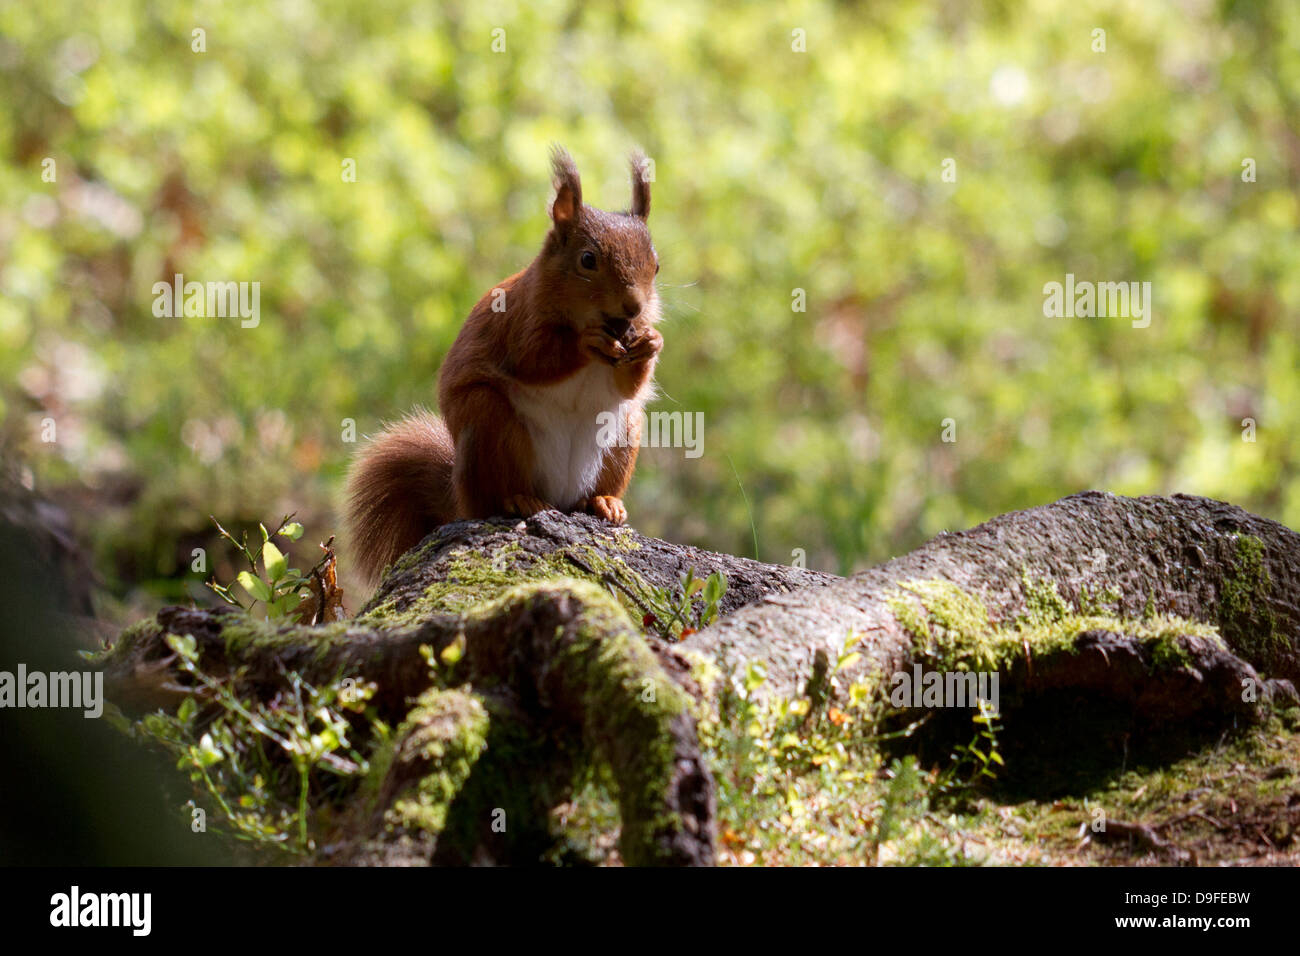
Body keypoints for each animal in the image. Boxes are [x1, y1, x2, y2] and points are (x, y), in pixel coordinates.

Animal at [348, 148, 660, 582]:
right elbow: (536, 359)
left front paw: (651, 342)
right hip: (488, 421)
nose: (634, 308)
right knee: (493, 497)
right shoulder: (516, 322)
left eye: (656, 265)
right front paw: (585, 342)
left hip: (624, 432)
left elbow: (628, 386)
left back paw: (604, 502)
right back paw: (519, 500)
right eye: (587, 260)